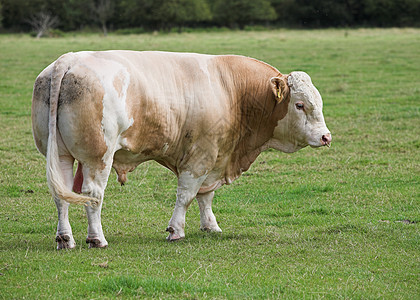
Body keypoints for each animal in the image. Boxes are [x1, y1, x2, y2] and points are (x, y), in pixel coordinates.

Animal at [31, 51, 332, 248]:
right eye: (300, 105)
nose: (326, 136)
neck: (232, 90)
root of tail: (69, 60)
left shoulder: (216, 157)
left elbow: (206, 196)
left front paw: (210, 226)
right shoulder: (200, 156)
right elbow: (187, 195)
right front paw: (176, 230)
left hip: (60, 155)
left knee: (62, 195)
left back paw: (65, 238)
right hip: (98, 157)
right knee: (93, 195)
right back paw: (97, 239)